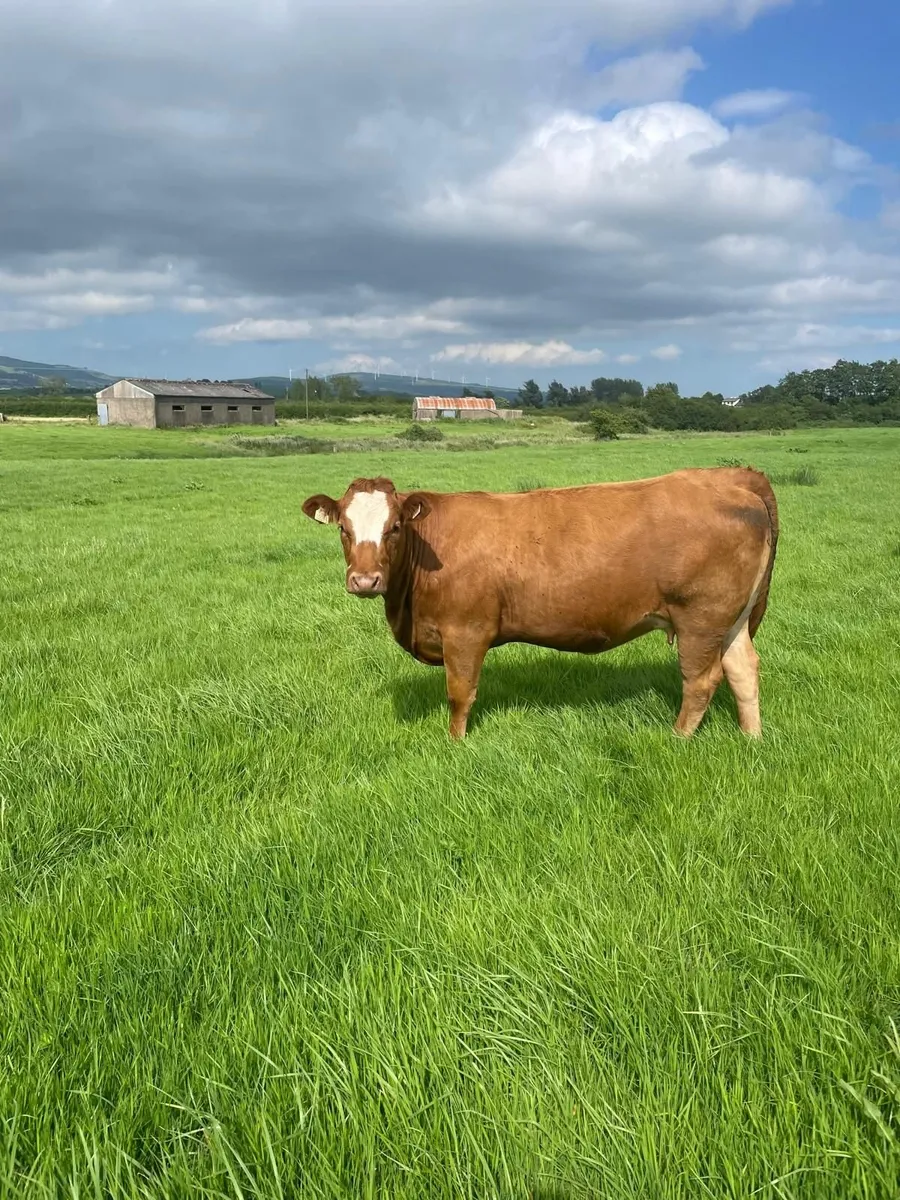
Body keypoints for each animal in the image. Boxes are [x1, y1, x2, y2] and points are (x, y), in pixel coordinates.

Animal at [302, 468, 778, 740]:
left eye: (395, 527)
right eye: (343, 528)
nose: (365, 580)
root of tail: (725, 478)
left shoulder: (465, 632)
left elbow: (460, 694)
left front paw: (455, 743)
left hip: (700, 617)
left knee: (701, 680)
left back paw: (678, 739)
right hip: (730, 620)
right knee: (743, 670)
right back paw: (751, 739)